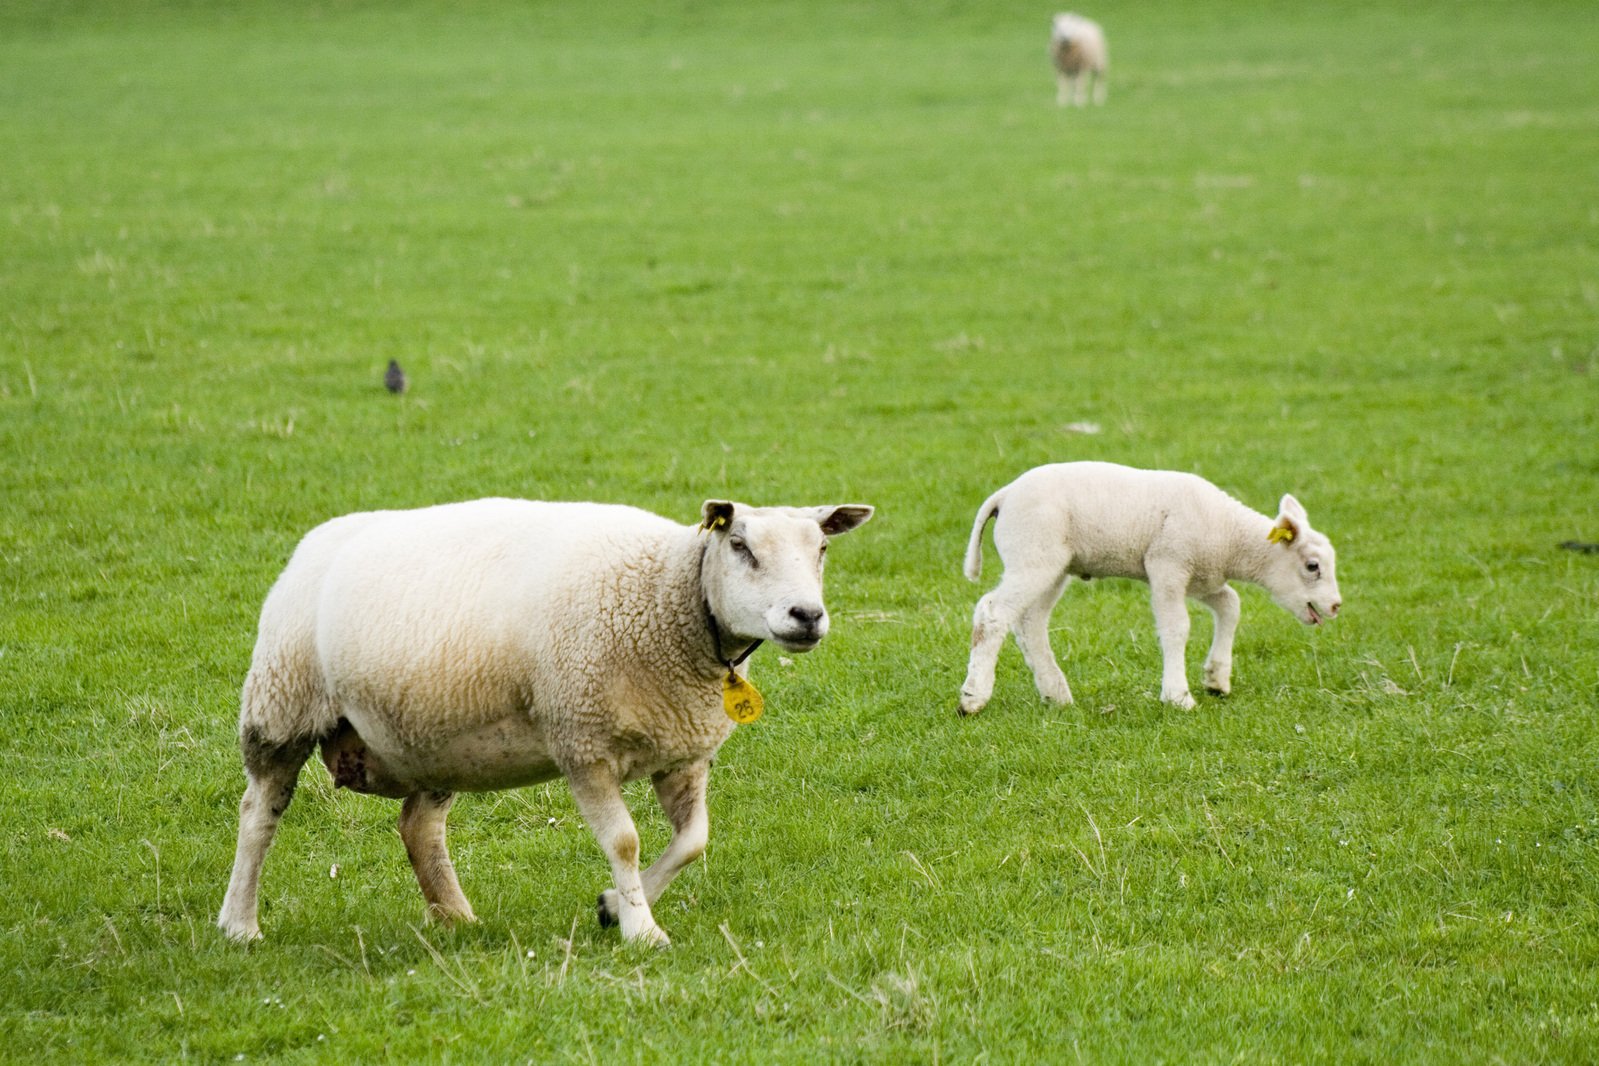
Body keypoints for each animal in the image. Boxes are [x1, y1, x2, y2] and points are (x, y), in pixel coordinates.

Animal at [215, 495, 876, 946]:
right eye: (740, 545)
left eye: (821, 549)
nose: (806, 615)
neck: (672, 597)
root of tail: (316, 540)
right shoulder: (582, 742)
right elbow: (625, 840)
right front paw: (642, 931)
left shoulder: (684, 752)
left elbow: (693, 842)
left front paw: (614, 906)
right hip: (282, 706)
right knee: (259, 814)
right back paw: (240, 924)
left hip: (430, 738)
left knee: (418, 827)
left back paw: (457, 918)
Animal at [953, 460, 1343, 715]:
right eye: (1312, 566)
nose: (1336, 606)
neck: (1230, 536)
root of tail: (1004, 496)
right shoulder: (1168, 565)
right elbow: (1177, 629)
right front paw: (1178, 696)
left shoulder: (1202, 576)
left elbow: (1231, 605)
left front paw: (1217, 679)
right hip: (1033, 556)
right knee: (993, 613)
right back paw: (973, 698)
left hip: (1052, 566)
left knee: (1030, 623)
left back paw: (1055, 694)